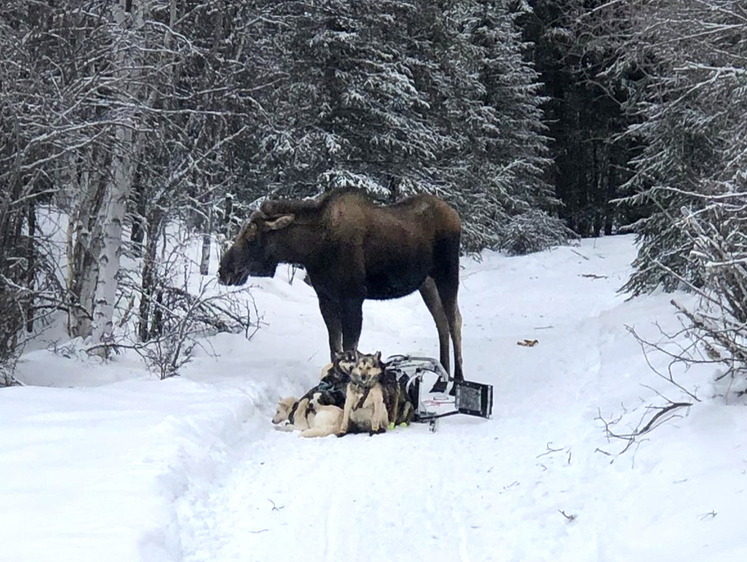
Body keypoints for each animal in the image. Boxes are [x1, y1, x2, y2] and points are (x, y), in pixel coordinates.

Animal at [216, 188, 462, 380]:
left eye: (251, 237)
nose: (224, 271)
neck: (312, 249)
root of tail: (455, 215)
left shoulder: (353, 298)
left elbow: (349, 350)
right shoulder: (326, 299)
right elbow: (335, 349)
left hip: (448, 274)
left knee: (454, 321)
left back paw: (456, 381)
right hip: (426, 283)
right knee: (441, 321)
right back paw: (442, 379)